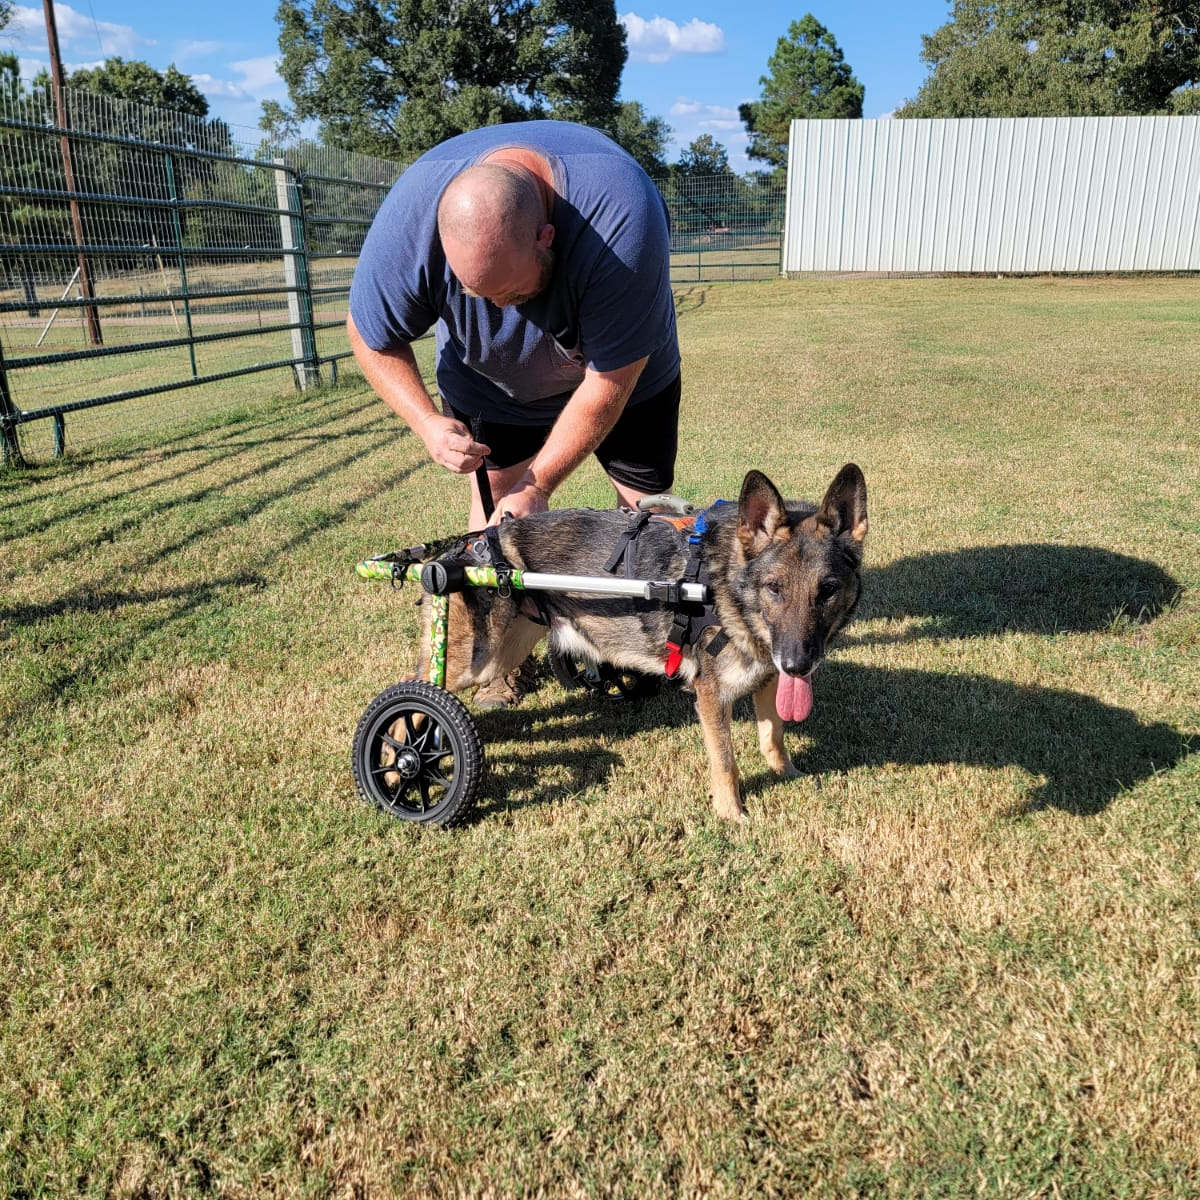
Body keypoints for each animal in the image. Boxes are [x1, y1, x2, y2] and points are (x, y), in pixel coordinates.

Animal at [417, 463, 868, 820]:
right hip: (477, 661)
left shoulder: (770, 681)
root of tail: (466, 546)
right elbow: (726, 764)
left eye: (827, 590)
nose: (798, 664)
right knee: (419, 690)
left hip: (508, 651)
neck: (728, 586)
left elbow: (773, 739)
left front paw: (789, 776)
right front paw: (732, 814)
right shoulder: (711, 698)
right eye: (774, 588)